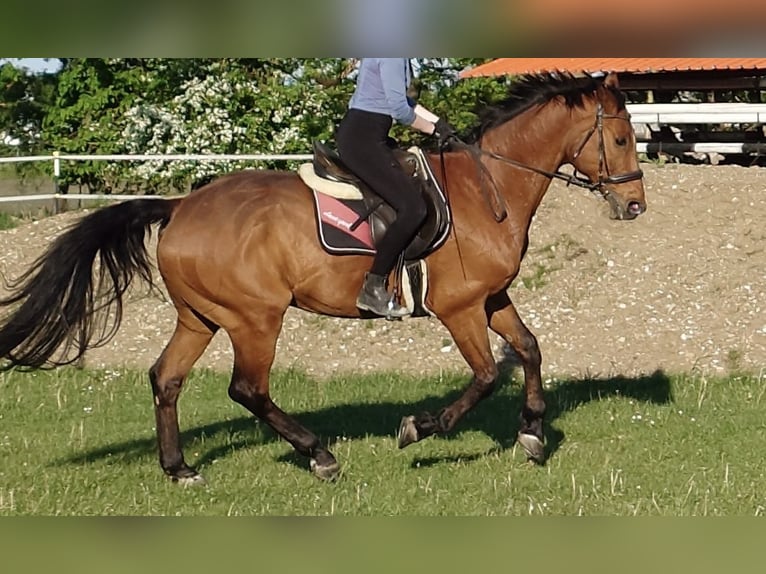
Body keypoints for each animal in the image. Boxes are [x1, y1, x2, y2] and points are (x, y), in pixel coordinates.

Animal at [0, 72, 646, 483]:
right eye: (620, 138)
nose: (635, 205)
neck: (487, 190)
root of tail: (181, 206)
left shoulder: (492, 297)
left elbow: (531, 350)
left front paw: (532, 434)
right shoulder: (460, 308)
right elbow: (486, 376)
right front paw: (420, 427)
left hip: (201, 316)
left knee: (167, 379)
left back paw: (180, 469)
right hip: (255, 318)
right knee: (248, 389)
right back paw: (319, 455)